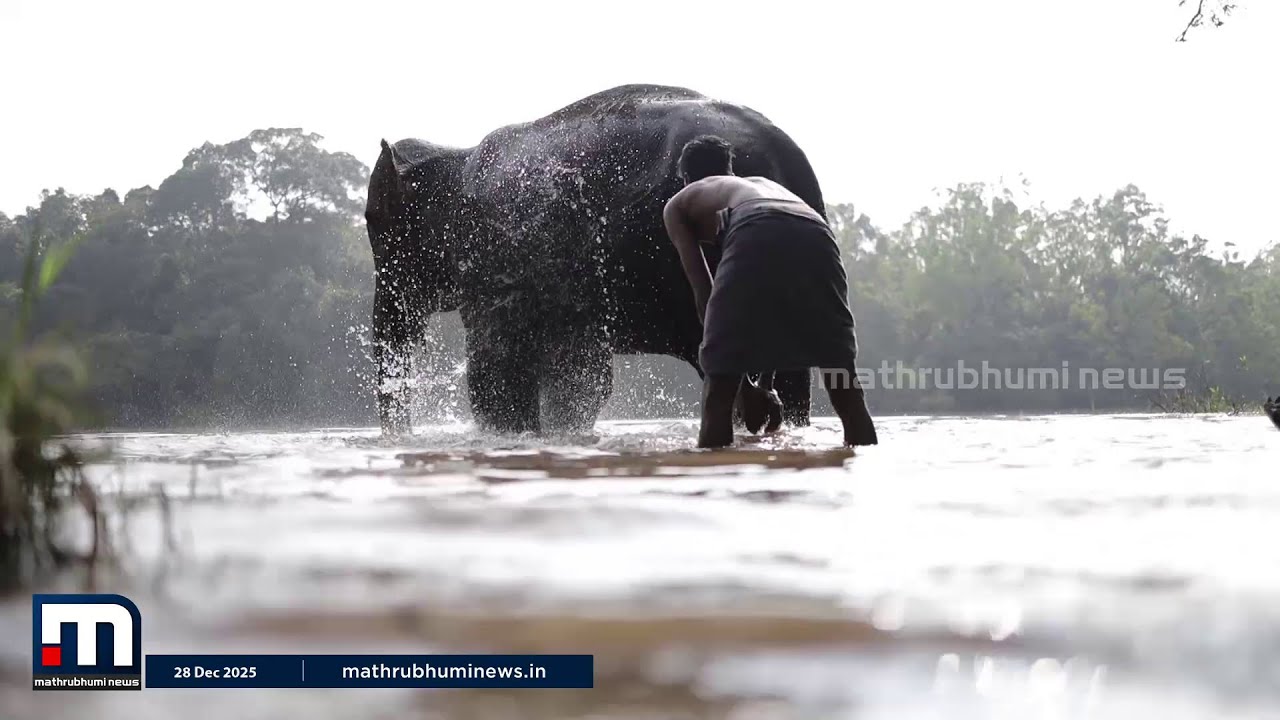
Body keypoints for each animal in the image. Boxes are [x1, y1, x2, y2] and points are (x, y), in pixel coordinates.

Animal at [364, 84, 832, 436]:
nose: (402, 438)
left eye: (373, 222)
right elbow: (576, 374)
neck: (456, 157)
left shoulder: (498, 257)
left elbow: (498, 371)